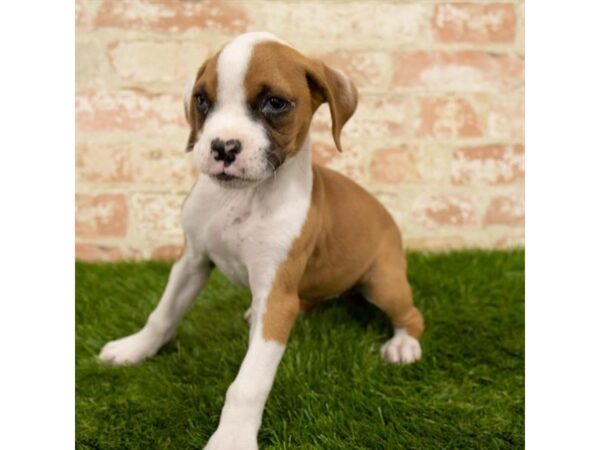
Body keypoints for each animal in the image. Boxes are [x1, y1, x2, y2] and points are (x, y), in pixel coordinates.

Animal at [98, 32, 424, 450]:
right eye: (202, 100)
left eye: (275, 103)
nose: (222, 146)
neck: (243, 198)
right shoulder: (193, 262)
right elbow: (163, 313)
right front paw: (134, 348)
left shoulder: (277, 296)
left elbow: (249, 383)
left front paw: (232, 438)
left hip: (382, 283)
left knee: (410, 314)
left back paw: (403, 345)